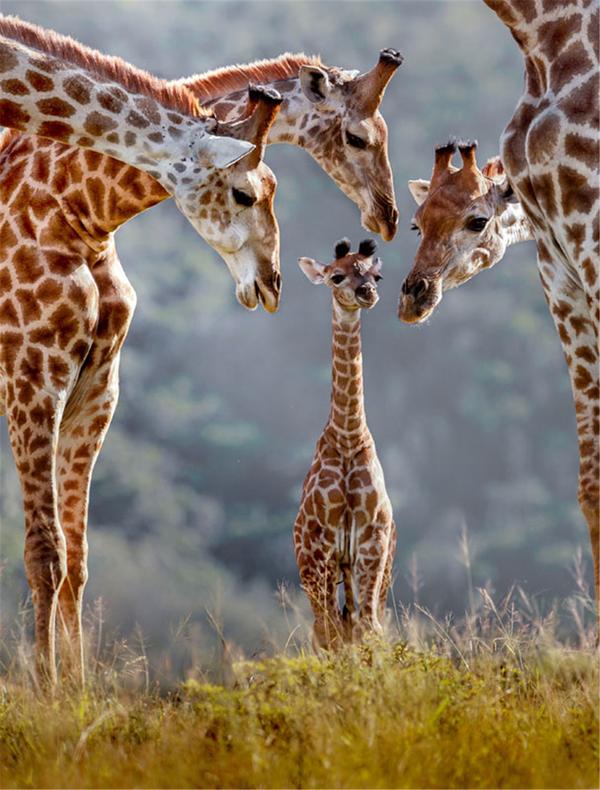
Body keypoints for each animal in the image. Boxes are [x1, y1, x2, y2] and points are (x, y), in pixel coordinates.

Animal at [292, 235, 396, 648]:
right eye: (336, 277)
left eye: (376, 276)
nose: (366, 293)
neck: (349, 436)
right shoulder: (321, 545)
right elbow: (330, 633)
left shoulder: (372, 540)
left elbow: (370, 628)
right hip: (316, 566)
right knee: (328, 629)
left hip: (375, 570)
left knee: (357, 623)